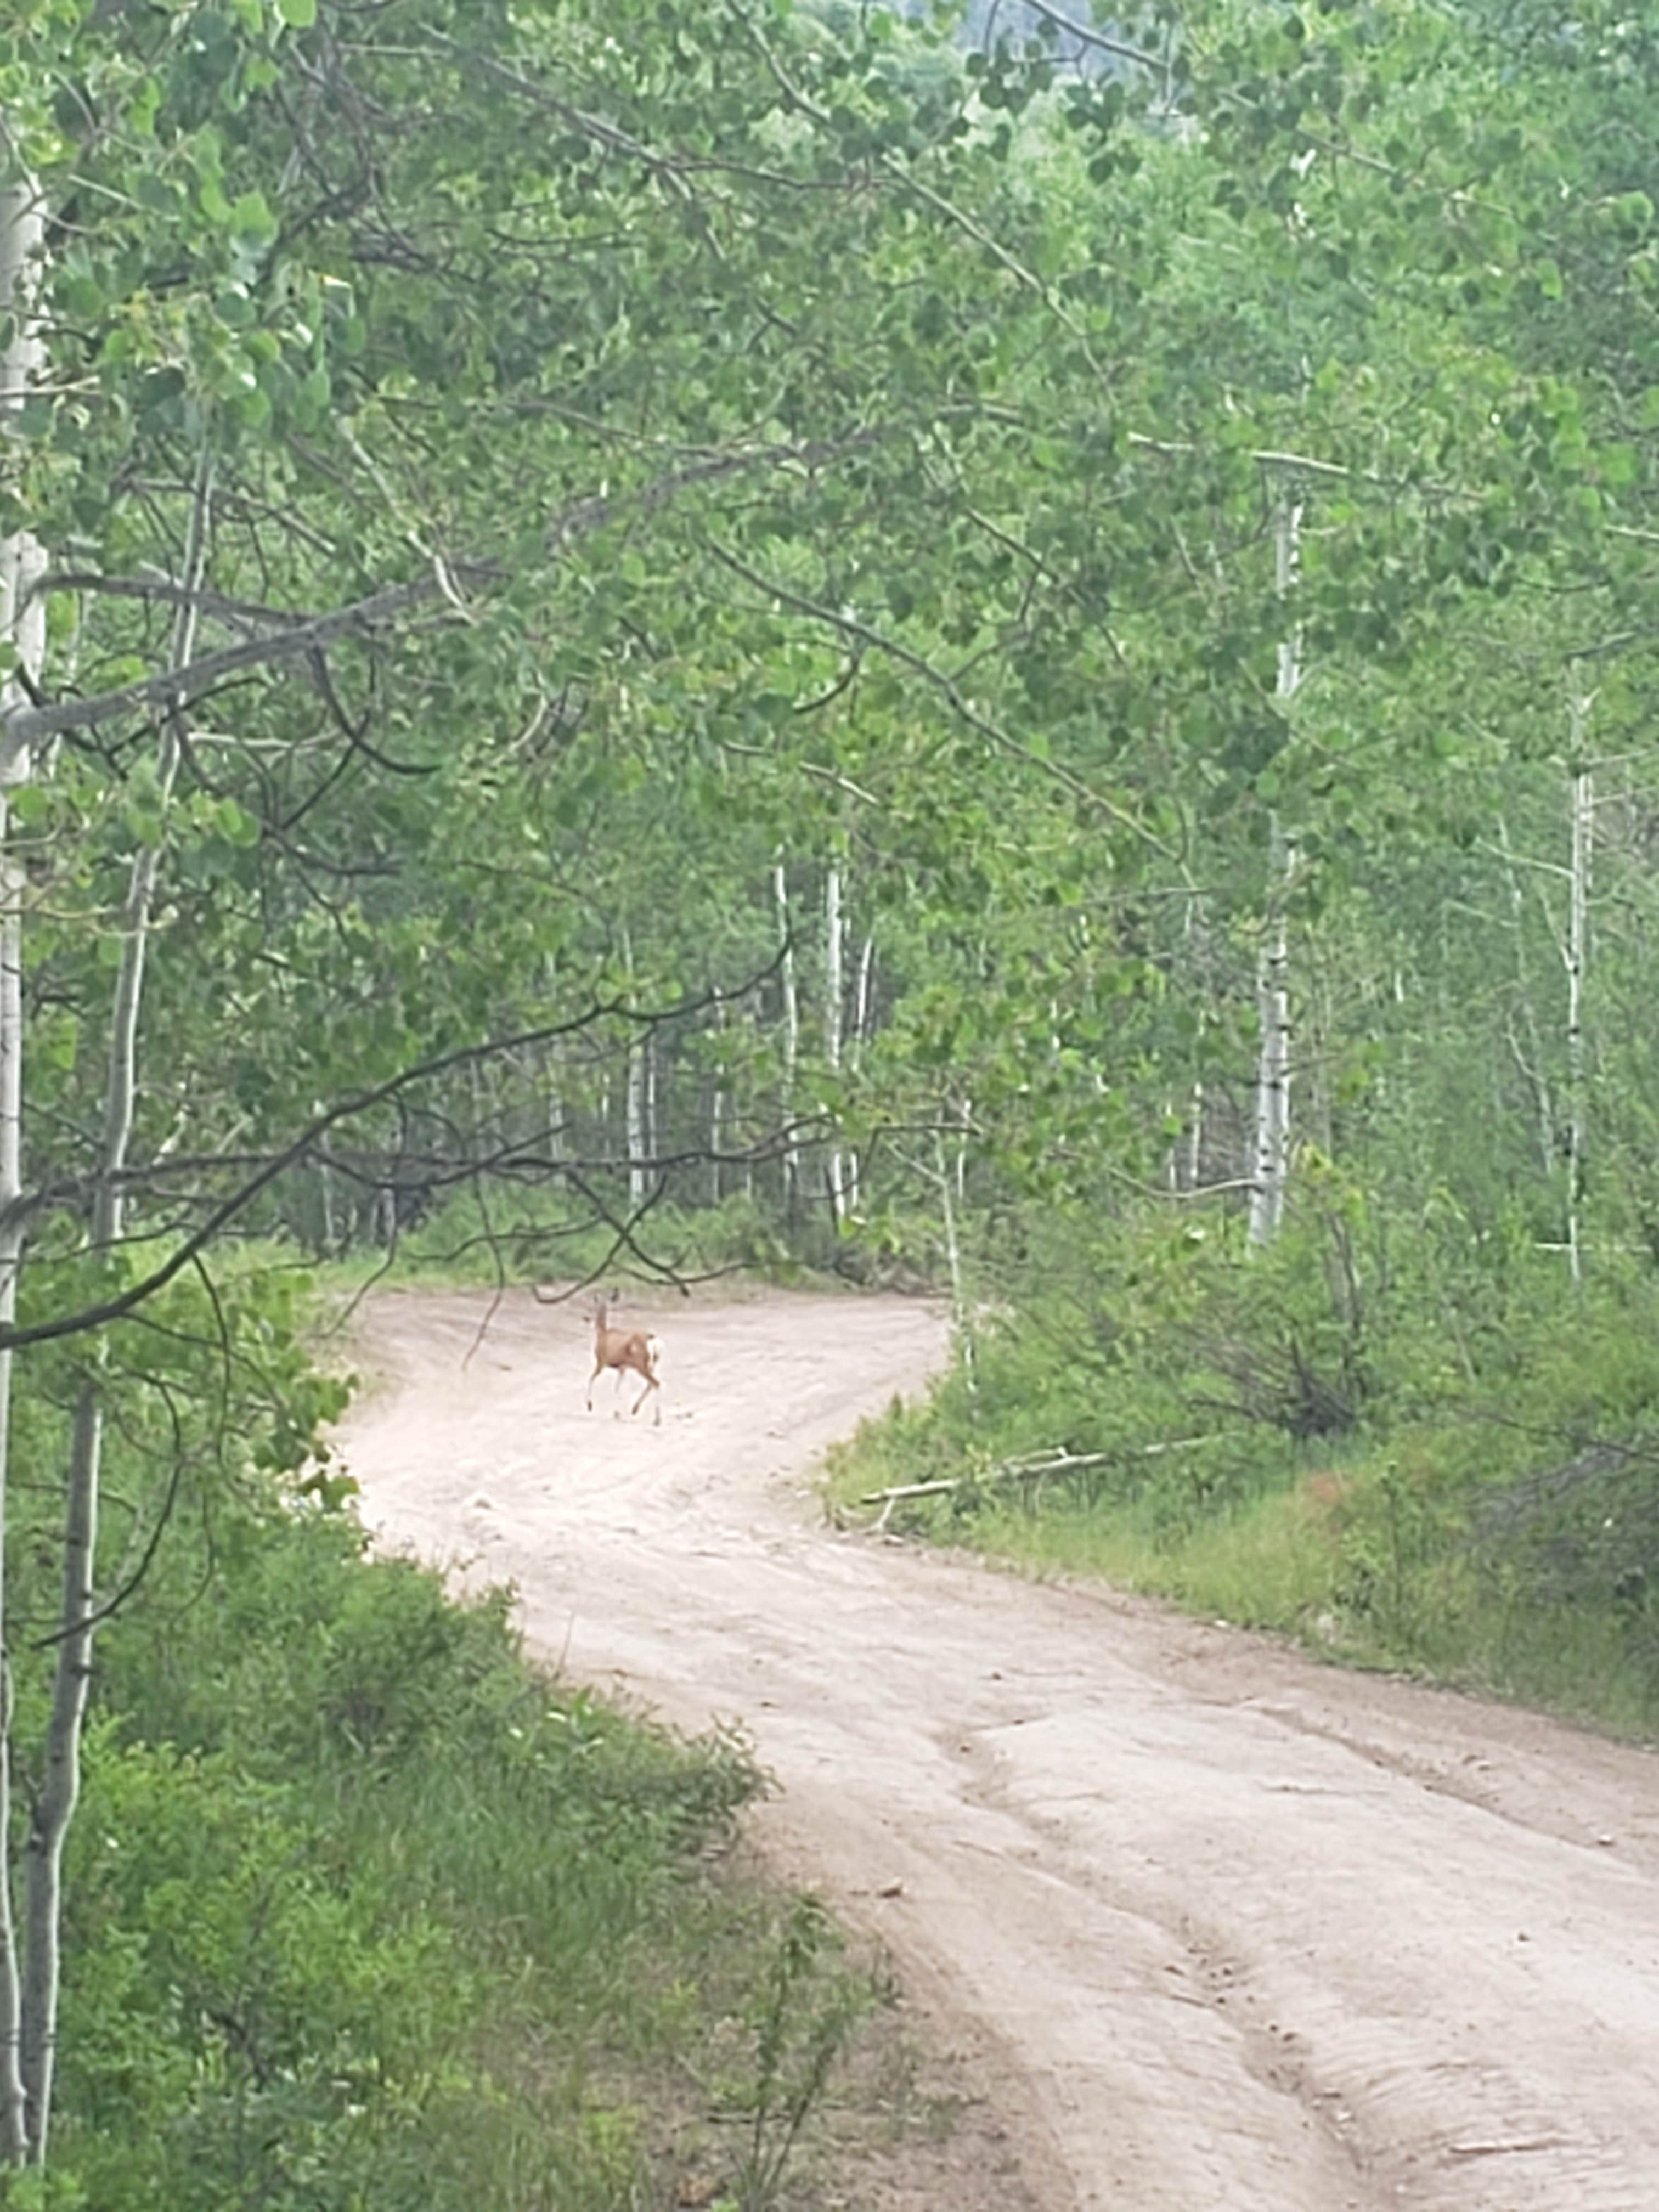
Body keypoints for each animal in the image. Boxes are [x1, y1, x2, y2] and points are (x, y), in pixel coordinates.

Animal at [584, 1291, 663, 1424]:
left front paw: (589, 1406)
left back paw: (657, 1420)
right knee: (650, 1384)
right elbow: (618, 1388)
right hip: (652, 1365)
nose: (587, 1318)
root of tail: (653, 1341)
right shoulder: (622, 1367)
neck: (602, 1334)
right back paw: (635, 1409)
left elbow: (591, 1379)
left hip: (641, 1365)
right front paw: (617, 1414)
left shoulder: (601, 1361)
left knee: (656, 1383)